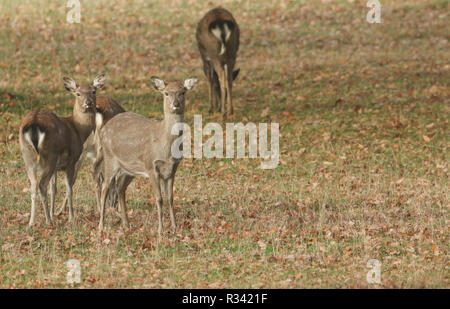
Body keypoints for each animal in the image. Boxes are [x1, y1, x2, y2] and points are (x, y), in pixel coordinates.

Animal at [20, 74, 107, 229]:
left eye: (93, 91)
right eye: (78, 93)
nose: (89, 102)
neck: (78, 130)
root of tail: (34, 124)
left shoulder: (56, 167)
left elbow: (54, 189)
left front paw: (54, 213)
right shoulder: (71, 161)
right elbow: (69, 188)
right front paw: (71, 218)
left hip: (27, 156)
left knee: (33, 186)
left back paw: (31, 223)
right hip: (49, 155)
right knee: (41, 185)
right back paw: (48, 221)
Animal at [96, 75, 197, 236]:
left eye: (182, 92)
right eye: (166, 93)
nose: (176, 104)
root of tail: (104, 128)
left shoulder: (172, 169)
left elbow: (170, 198)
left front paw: (175, 228)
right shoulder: (151, 166)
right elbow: (159, 198)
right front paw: (161, 230)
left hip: (129, 169)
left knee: (120, 188)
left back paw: (126, 224)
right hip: (110, 157)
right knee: (105, 186)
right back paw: (101, 226)